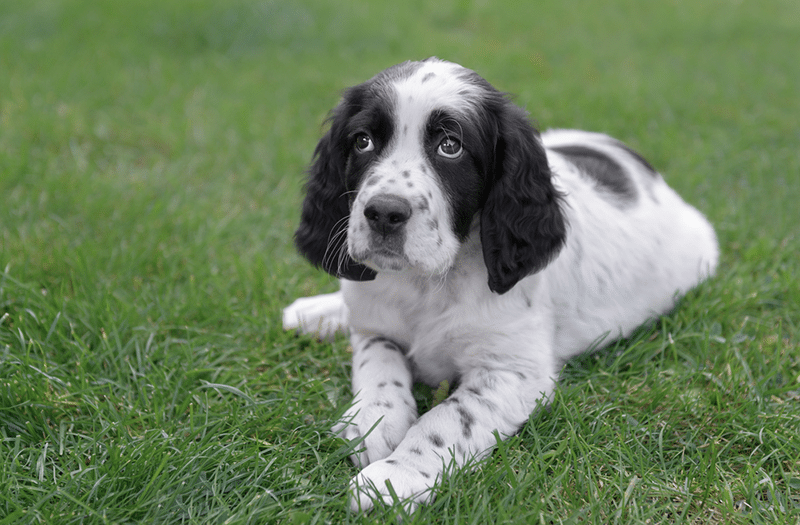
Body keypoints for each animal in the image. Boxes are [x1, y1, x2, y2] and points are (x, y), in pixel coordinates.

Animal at [282, 58, 720, 512]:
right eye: (363, 141)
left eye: (451, 146)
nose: (384, 213)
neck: (429, 281)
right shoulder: (374, 328)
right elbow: (378, 364)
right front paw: (372, 420)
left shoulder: (512, 371)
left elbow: (448, 419)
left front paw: (392, 478)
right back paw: (314, 312)